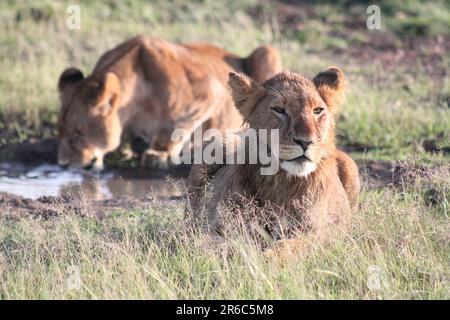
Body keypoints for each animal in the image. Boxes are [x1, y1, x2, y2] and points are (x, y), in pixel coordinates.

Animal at [56, 35, 282, 170]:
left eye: (77, 133)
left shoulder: (209, 91)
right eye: (61, 132)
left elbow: (175, 125)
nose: (63, 164)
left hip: (266, 52)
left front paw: (159, 153)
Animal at [188, 69, 360, 254]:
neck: (281, 180)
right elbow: (206, 240)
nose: (306, 142)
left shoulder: (323, 232)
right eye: (279, 110)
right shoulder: (219, 224)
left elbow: (289, 247)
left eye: (317, 110)